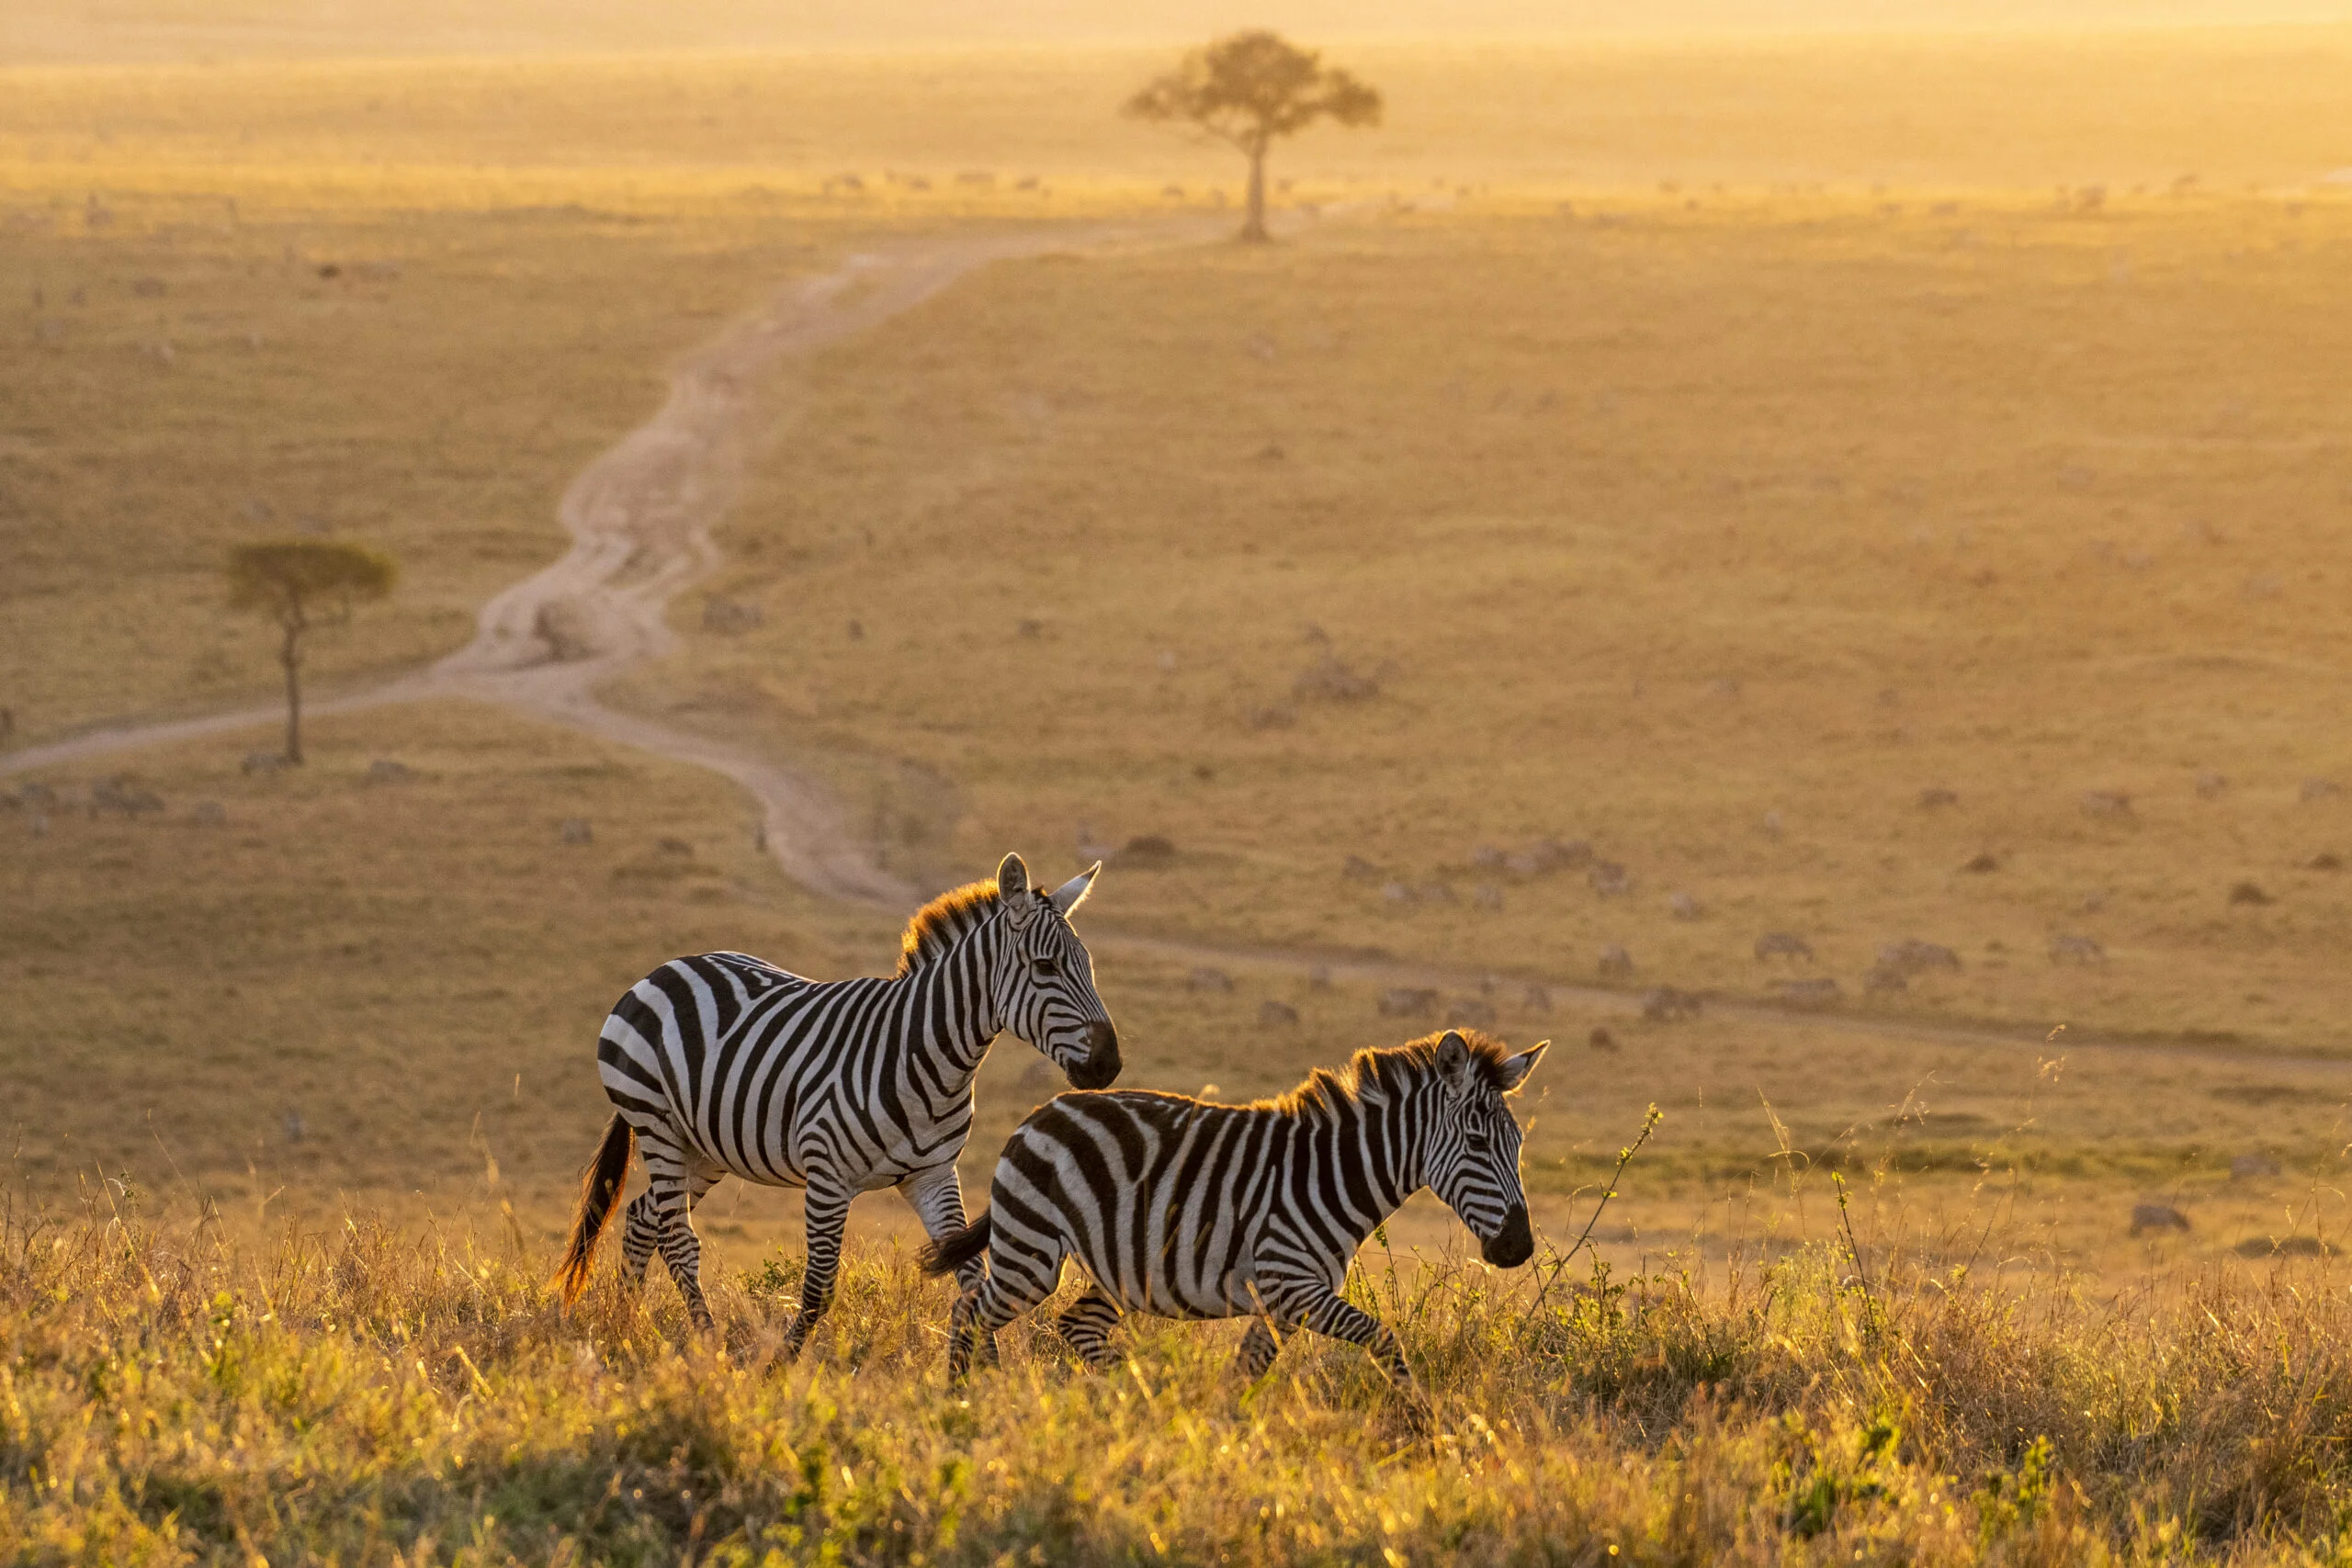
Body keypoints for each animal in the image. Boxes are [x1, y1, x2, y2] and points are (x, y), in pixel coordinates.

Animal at [564, 851, 1124, 1354]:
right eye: (1045, 967)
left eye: (1089, 966)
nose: (1109, 1065)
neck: (927, 1055)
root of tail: (666, 968)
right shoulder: (828, 1178)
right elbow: (818, 1290)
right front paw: (779, 1368)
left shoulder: (933, 1175)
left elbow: (970, 1276)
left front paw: (982, 1373)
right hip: (656, 1123)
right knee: (678, 1238)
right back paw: (708, 1343)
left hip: (704, 1146)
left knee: (644, 1219)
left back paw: (626, 1323)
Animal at [917, 1029, 1543, 1410]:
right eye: (1478, 1143)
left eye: (1517, 1146)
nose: (1519, 1248)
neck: (1333, 1174)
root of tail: (1042, 1112)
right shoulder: (1292, 1286)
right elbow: (1385, 1338)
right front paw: (1428, 1429)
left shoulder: (1282, 1304)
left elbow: (1245, 1373)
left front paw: (1219, 1432)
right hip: (1033, 1254)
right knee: (969, 1311)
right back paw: (959, 1404)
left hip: (1117, 1269)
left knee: (1076, 1325)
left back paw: (1141, 1398)